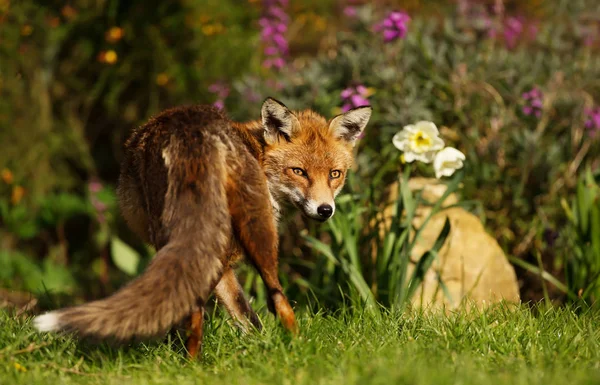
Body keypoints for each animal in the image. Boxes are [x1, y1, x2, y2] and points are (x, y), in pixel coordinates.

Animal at [34, 97, 370, 356]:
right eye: (298, 171)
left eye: (335, 174)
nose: (325, 210)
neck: (258, 154)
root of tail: (193, 134)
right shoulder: (223, 259)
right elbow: (247, 317)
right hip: (251, 234)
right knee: (277, 298)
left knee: (218, 306)